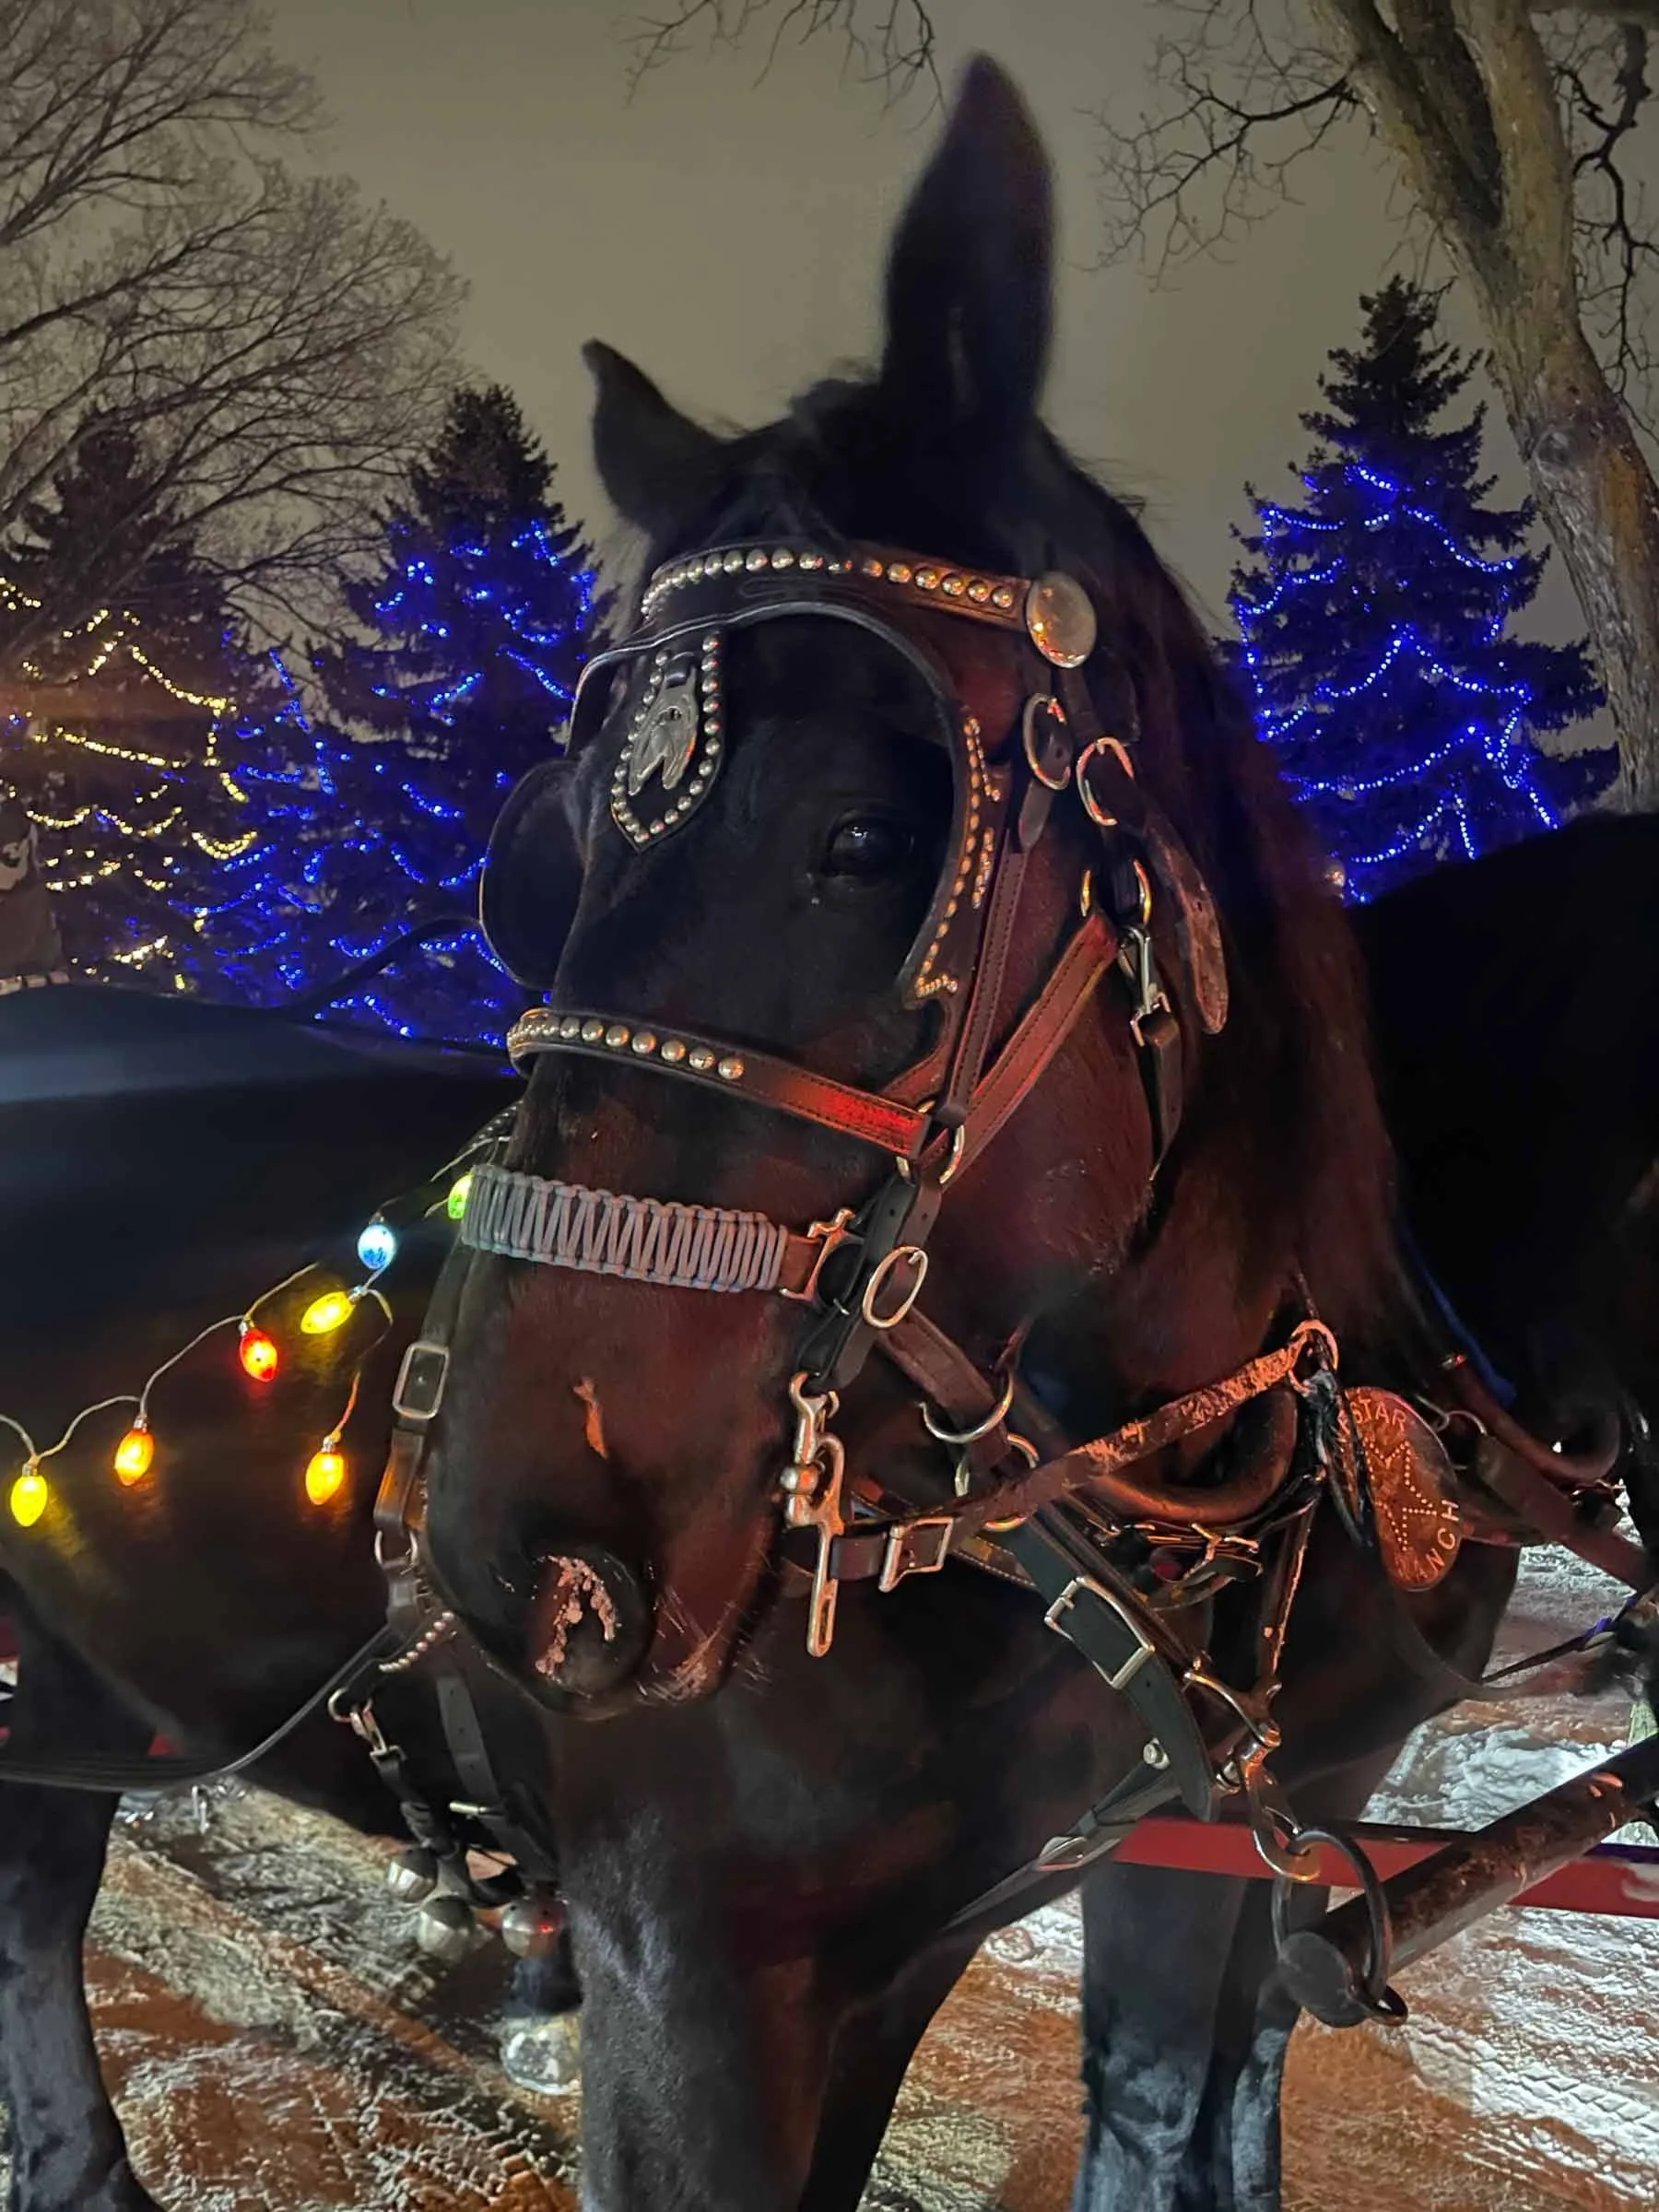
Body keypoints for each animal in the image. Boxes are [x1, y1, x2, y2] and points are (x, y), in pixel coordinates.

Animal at [405, 58, 1653, 2212]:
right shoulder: (698, 2002)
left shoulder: (1212, 1861)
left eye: (873, 834)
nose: (521, 1564)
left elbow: (1179, 2129)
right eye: (532, 863)